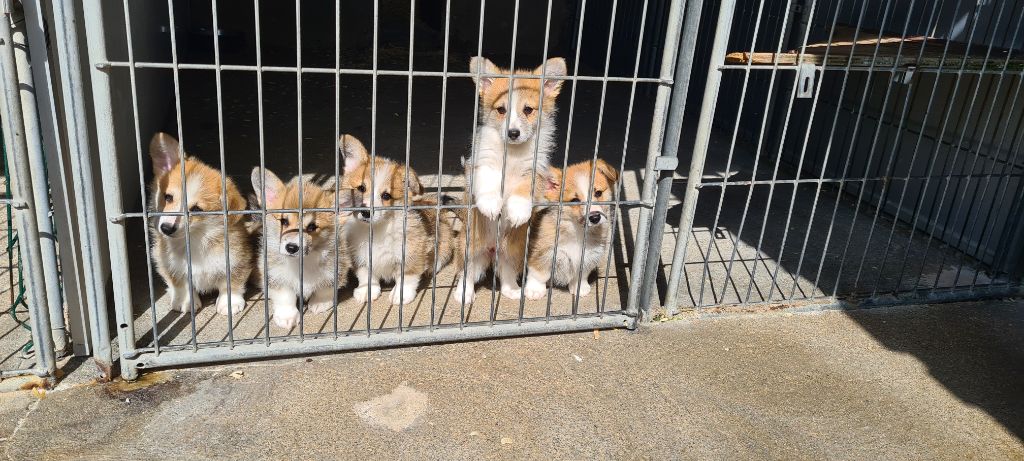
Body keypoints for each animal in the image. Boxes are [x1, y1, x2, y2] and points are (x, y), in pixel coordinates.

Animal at [149, 131, 254, 315]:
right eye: (168, 197)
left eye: (197, 209)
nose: (166, 228)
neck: (195, 238)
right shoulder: (167, 263)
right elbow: (179, 282)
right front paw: (184, 301)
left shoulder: (237, 259)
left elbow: (231, 283)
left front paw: (230, 304)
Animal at [248, 166, 352, 329]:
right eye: (284, 221)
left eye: (312, 227)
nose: (291, 247)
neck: (302, 262)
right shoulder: (274, 274)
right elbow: (285, 296)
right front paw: (287, 317)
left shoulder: (338, 268)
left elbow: (325, 289)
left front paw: (320, 303)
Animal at [339, 134, 456, 305]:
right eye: (361, 188)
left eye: (386, 196)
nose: (365, 212)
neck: (378, 228)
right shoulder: (360, 256)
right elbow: (366, 275)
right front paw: (366, 291)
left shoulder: (410, 253)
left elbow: (407, 277)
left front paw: (401, 295)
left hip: (444, 239)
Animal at [454, 54, 569, 305]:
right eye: (500, 110)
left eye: (528, 110)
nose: (513, 133)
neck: (513, 153)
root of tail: (491, 250)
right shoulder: (482, 163)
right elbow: (489, 183)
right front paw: (491, 205)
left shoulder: (534, 171)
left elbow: (522, 193)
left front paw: (517, 211)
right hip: (470, 246)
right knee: (467, 272)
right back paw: (463, 294)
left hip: (513, 250)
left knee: (505, 271)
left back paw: (513, 290)